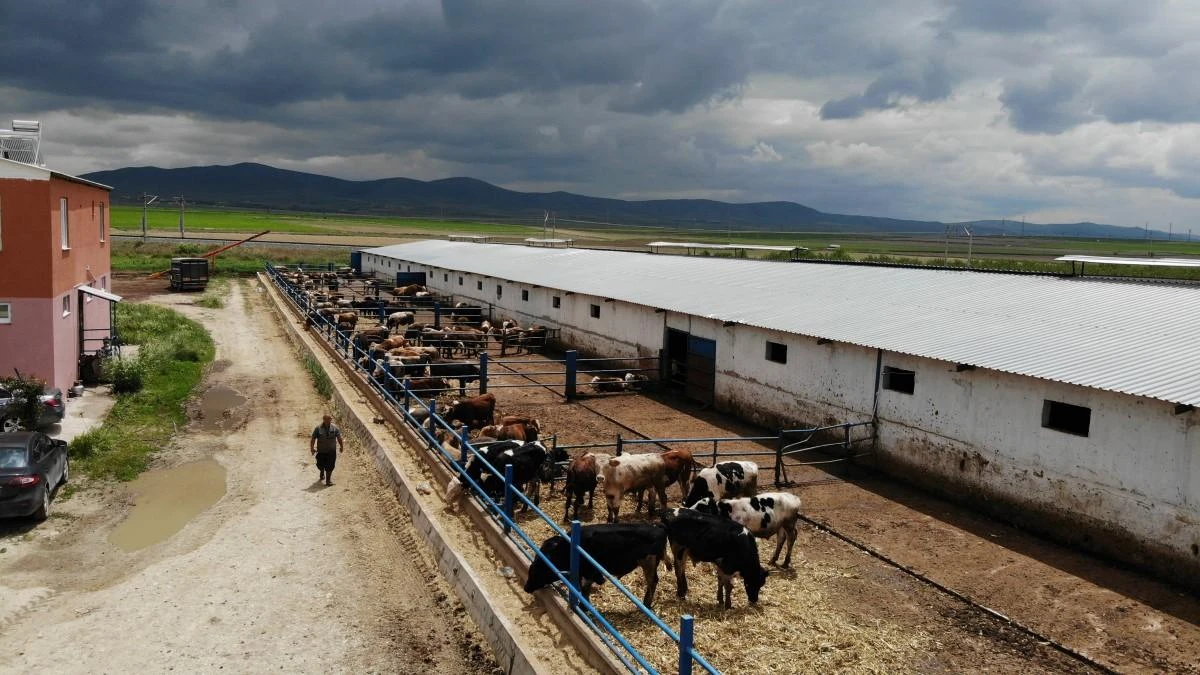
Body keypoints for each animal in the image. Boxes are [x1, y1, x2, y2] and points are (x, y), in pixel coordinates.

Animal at [525, 516, 672, 607]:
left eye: (536, 572)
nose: (526, 588)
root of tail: (657, 527)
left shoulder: (590, 573)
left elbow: (584, 589)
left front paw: (583, 607)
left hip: (648, 561)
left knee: (652, 582)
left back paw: (646, 604)